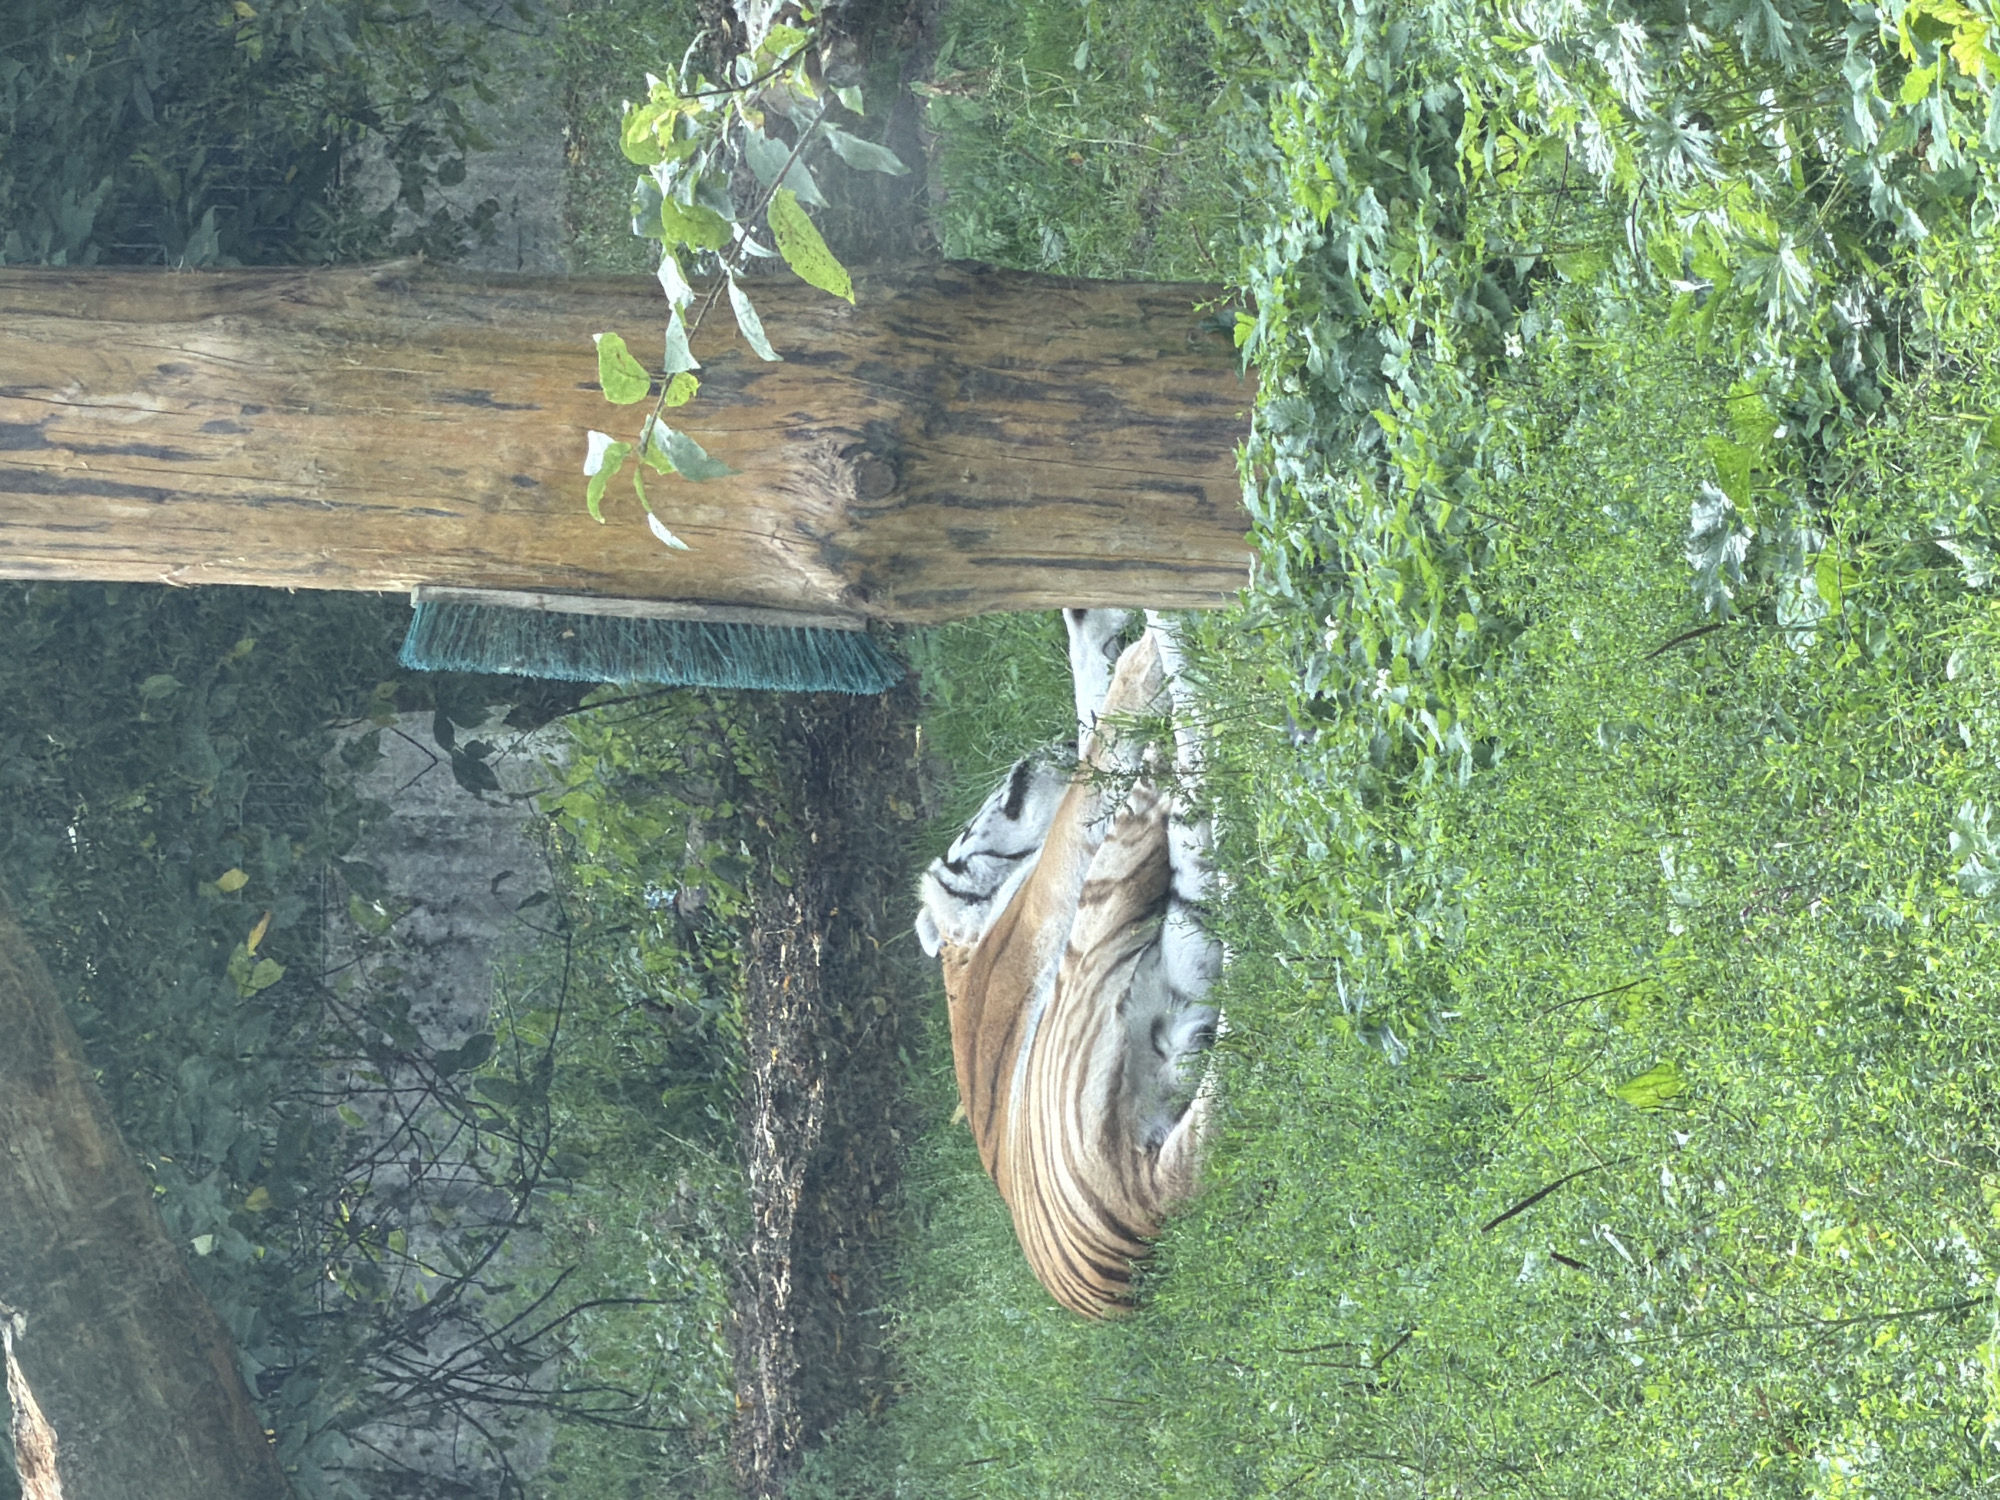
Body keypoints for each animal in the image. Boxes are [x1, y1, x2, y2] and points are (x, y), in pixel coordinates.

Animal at [915, 608, 1220, 1318]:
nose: (1030, 755)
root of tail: (1145, 1208)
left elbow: (1093, 713)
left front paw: (1100, 630)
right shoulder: (1063, 862)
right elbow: (1099, 742)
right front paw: (1131, 654)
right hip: (1099, 940)